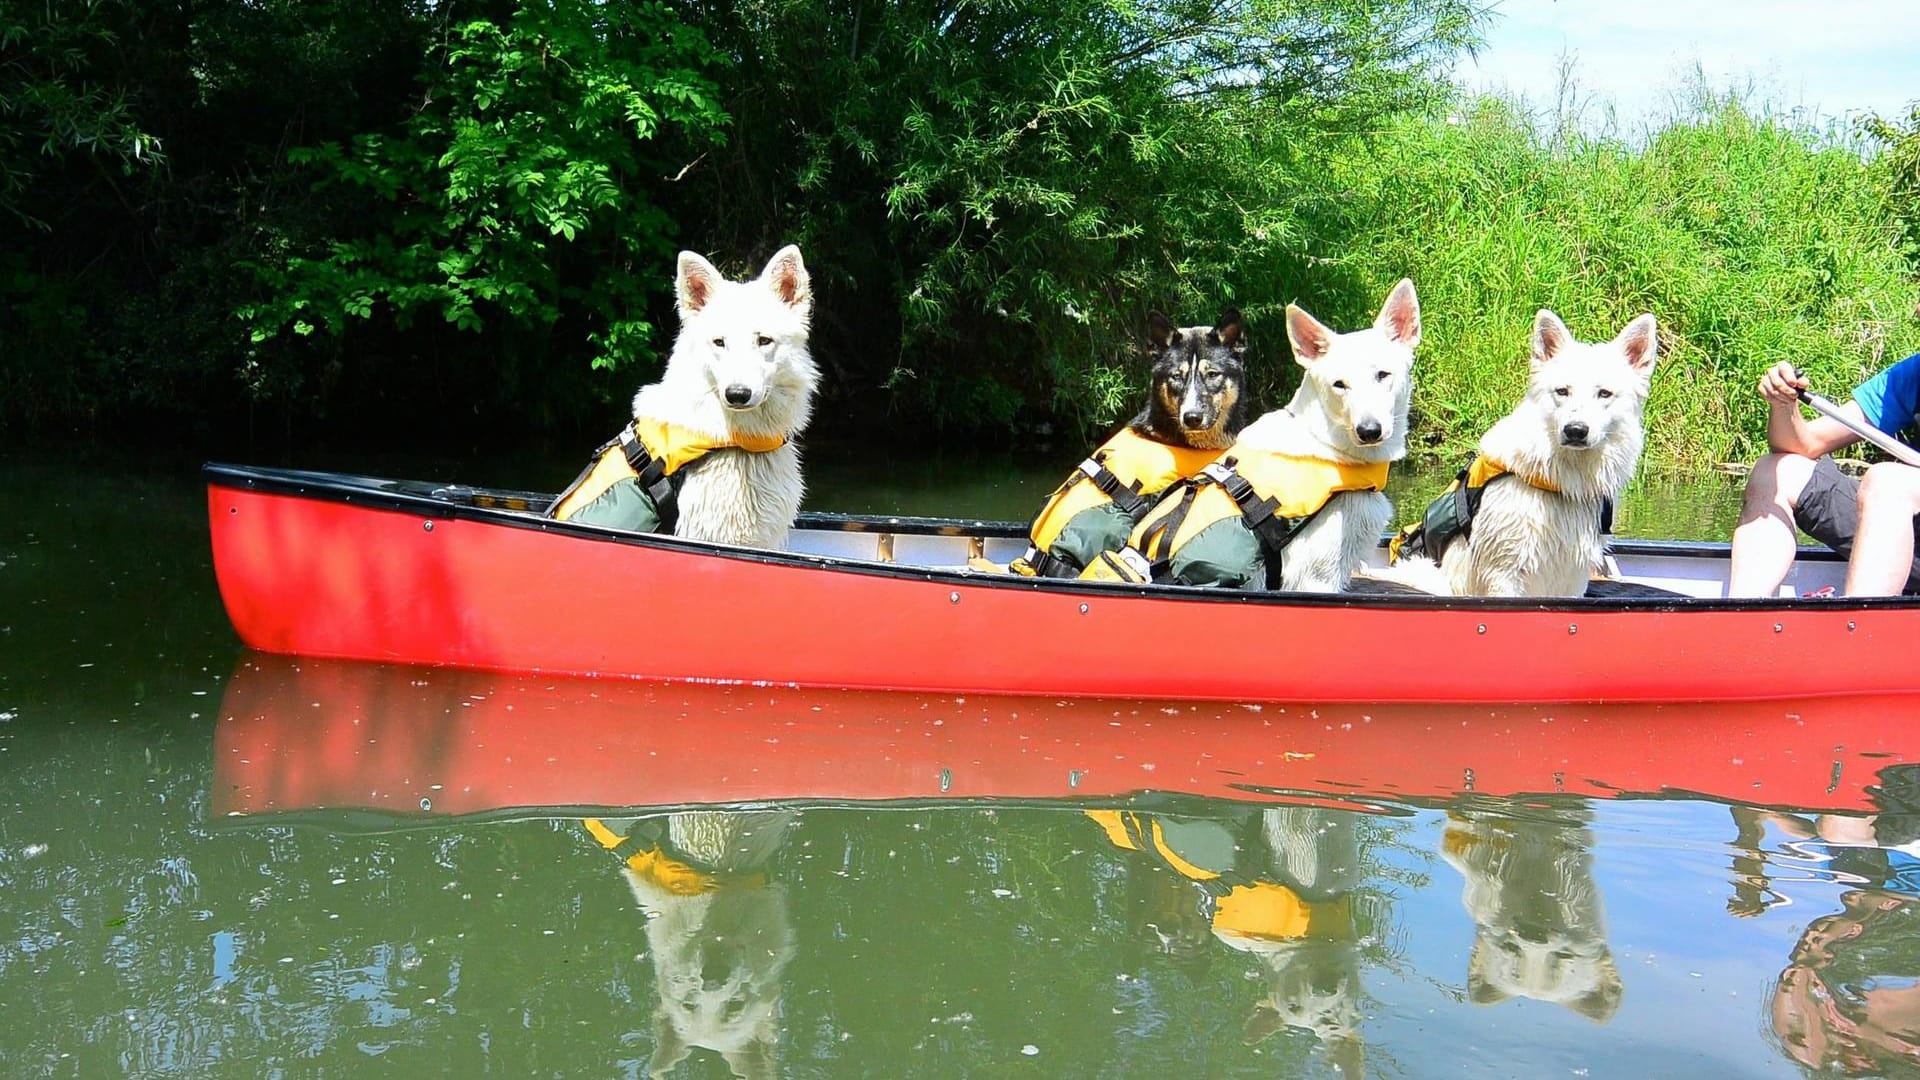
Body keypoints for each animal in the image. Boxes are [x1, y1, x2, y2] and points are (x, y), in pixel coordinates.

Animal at [1405, 309, 1658, 595]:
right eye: (1562, 391)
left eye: (1604, 393)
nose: (1575, 430)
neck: (1563, 482)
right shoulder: (1505, 572)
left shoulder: (1574, 577)